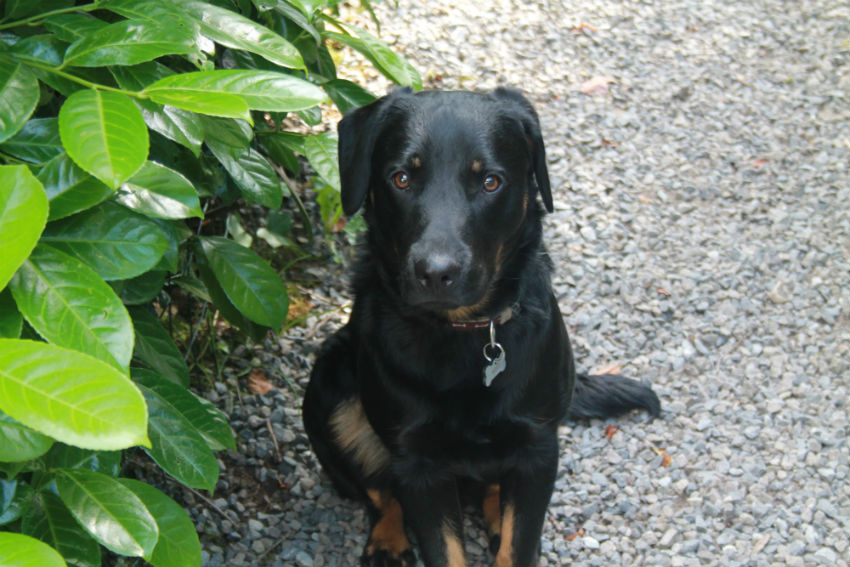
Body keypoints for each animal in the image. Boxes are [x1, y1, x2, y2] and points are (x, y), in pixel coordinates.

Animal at [302, 86, 660, 564]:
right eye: (401, 178)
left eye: (490, 182)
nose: (436, 272)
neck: (465, 334)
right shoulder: (417, 463)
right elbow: (442, 546)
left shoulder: (537, 447)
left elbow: (519, 541)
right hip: (330, 387)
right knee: (378, 491)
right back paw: (389, 540)